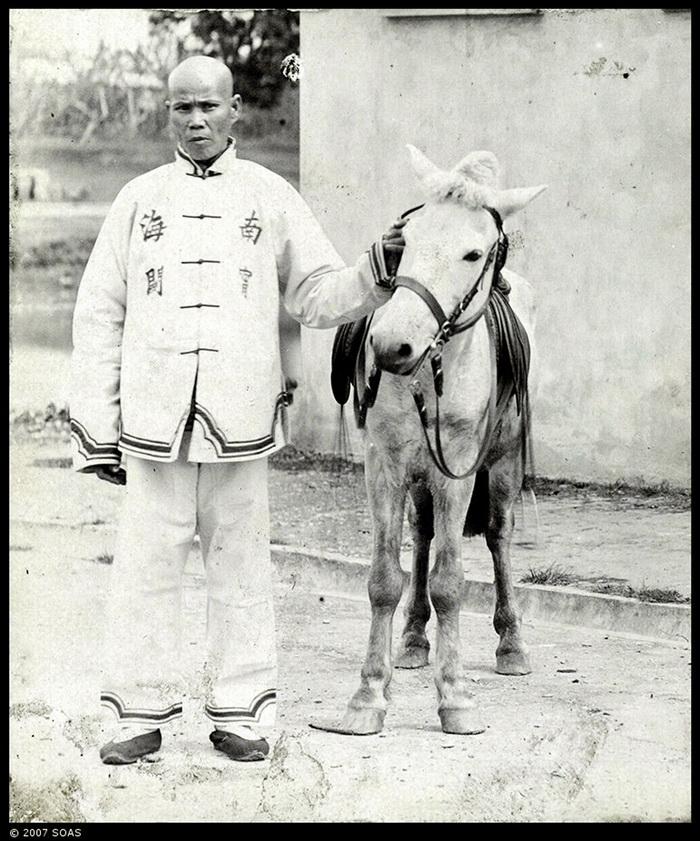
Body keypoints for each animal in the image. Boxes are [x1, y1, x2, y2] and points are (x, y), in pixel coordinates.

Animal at [322, 146, 548, 736]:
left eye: (473, 253)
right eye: (407, 240)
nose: (391, 345)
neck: (428, 371)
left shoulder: (458, 473)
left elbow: (450, 581)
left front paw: (455, 697)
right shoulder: (384, 466)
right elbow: (385, 579)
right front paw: (368, 696)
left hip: (502, 468)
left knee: (498, 538)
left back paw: (512, 645)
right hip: (420, 481)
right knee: (421, 537)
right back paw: (412, 639)